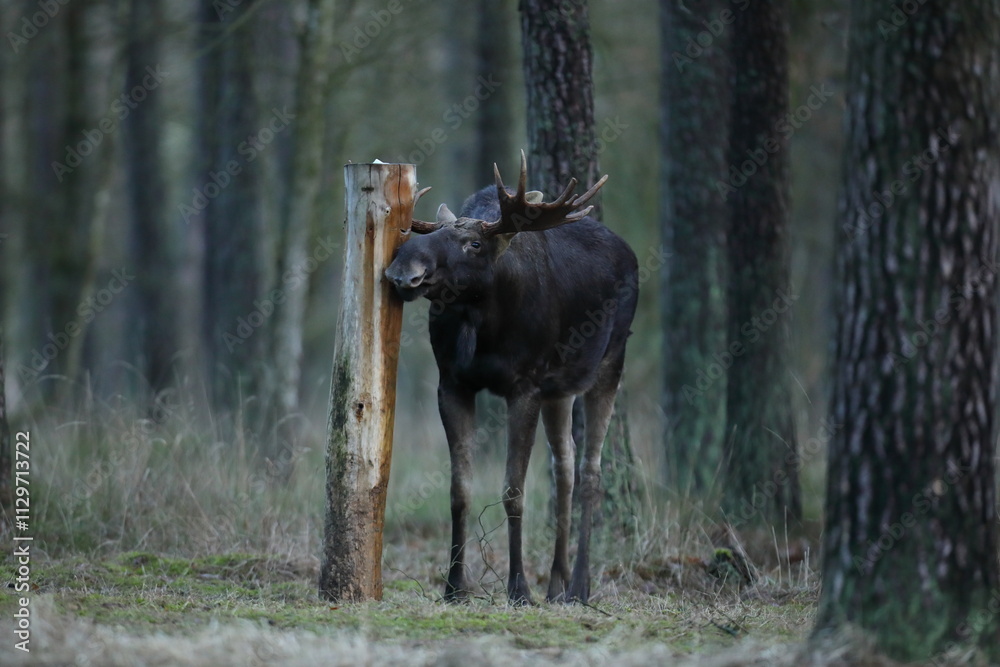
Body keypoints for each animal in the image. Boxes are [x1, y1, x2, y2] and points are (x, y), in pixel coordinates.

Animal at [384, 152, 639, 605]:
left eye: (474, 243)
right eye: (433, 234)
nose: (402, 272)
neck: (481, 325)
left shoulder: (525, 385)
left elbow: (513, 491)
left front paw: (518, 587)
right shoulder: (452, 383)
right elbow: (460, 489)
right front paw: (454, 585)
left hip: (610, 364)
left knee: (591, 472)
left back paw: (579, 585)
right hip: (559, 390)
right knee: (564, 466)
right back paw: (556, 583)